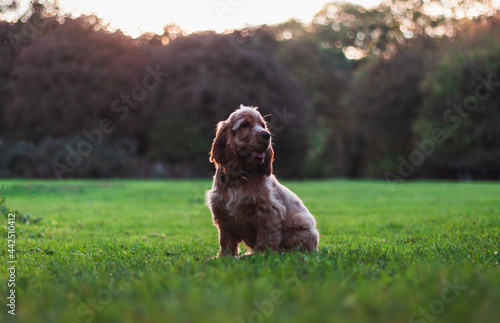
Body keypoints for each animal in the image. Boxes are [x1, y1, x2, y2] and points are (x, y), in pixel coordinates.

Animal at [204, 106, 318, 258]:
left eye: (263, 125)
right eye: (245, 125)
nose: (267, 135)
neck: (239, 176)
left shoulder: (269, 211)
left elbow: (266, 237)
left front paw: (262, 255)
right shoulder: (222, 212)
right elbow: (225, 239)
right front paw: (224, 257)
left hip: (300, 225)